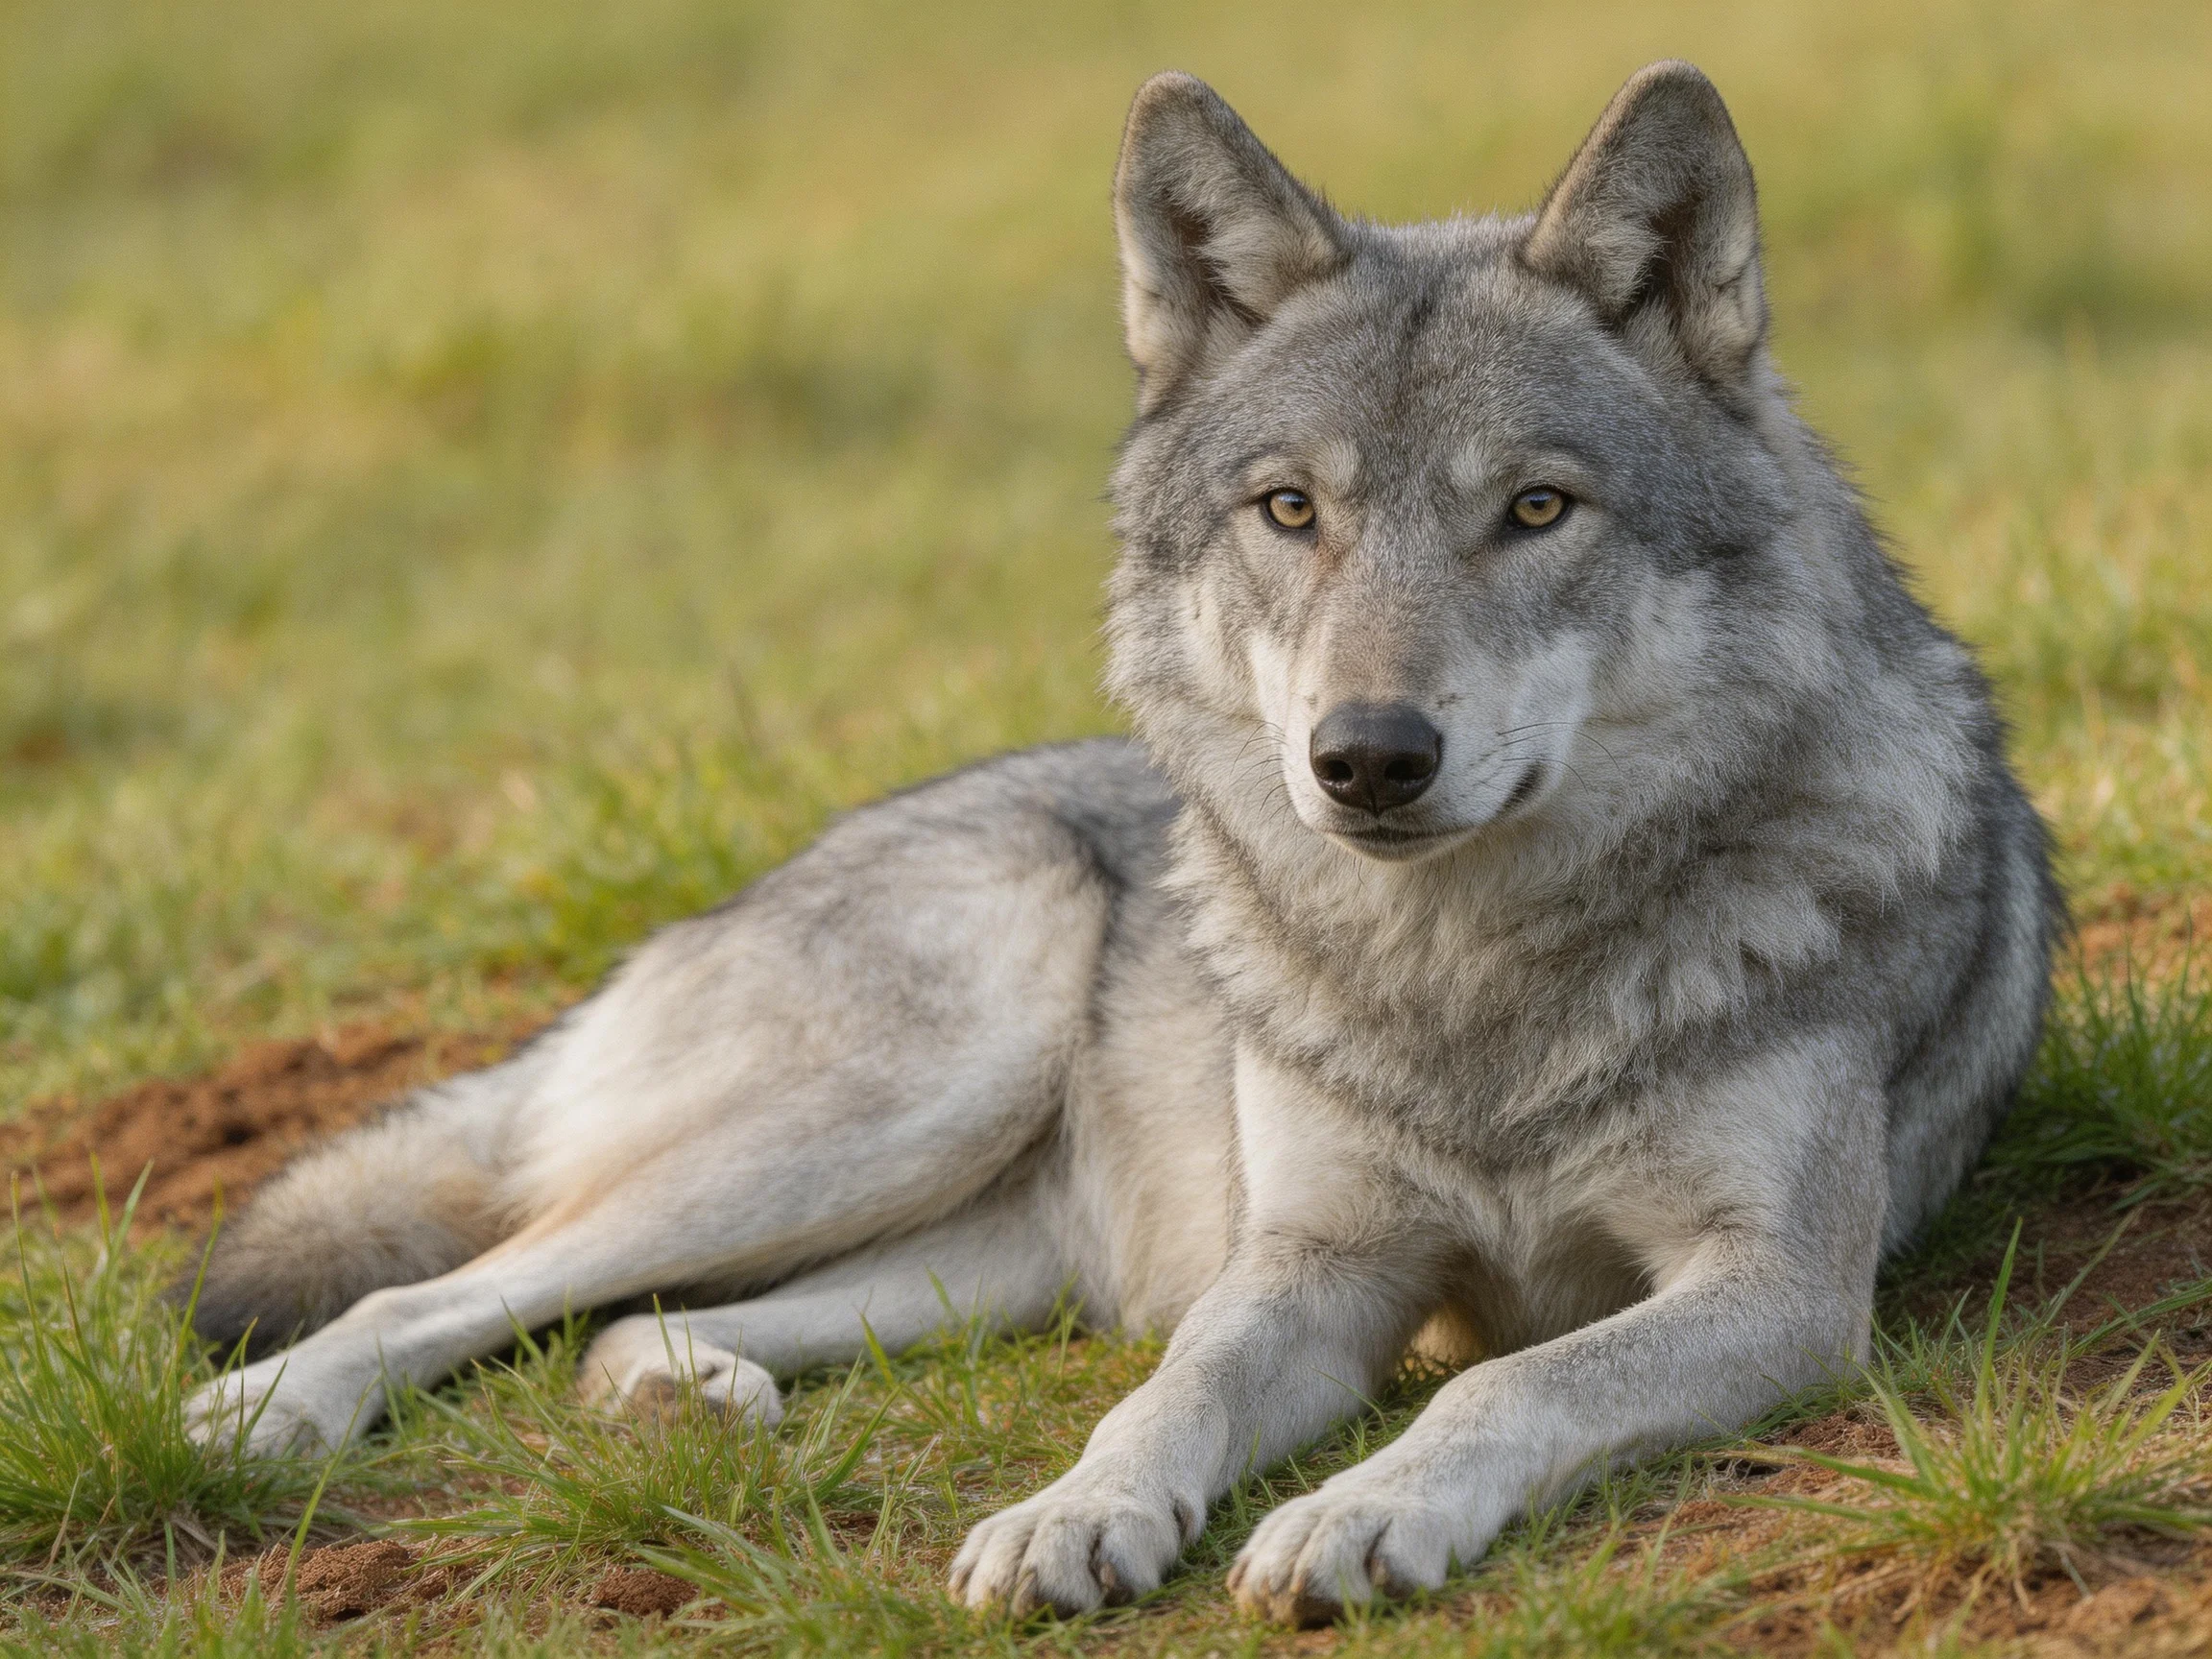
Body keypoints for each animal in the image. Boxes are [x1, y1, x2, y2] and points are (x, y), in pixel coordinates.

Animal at [181, 62, 2057, 1622]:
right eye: (1289, 510)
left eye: (1536, 508)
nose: (1367, 757)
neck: (1461, 986)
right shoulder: (1308, 1264)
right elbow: (1179, 1395)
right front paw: (1070, 1513)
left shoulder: (1780, 1287)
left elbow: (1506, 1375)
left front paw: (1353, 1513)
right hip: (892, 1108)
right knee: (464, 1289)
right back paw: (265, 1408)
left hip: (980, 1261)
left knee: (627, 1326)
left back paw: (690, 1400)